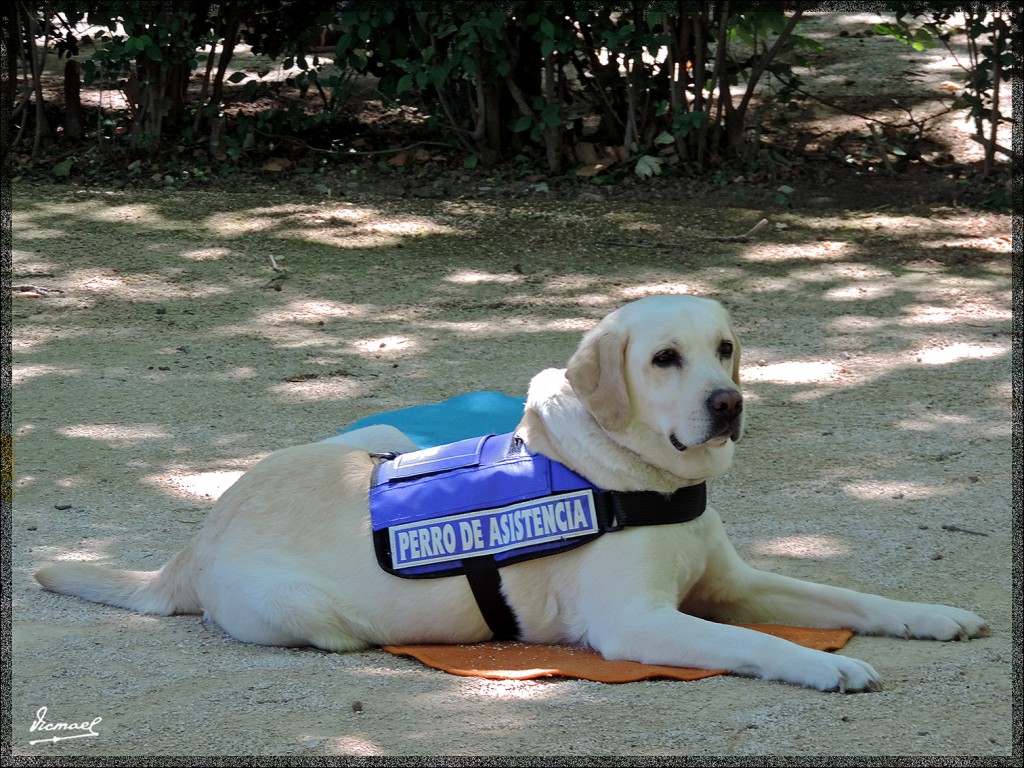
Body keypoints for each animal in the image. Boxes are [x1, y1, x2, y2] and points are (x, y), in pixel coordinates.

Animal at [36, 292, 987, 692]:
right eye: (664, 359)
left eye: (724, 349)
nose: (730, 403)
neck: (635, 478)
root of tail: (191, 545)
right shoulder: (639, 625)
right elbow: (761, 644)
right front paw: (829, 667)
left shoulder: (737, 583)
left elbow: (849, 596)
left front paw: (933, 616)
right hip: (310, 613)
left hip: (380, 441)